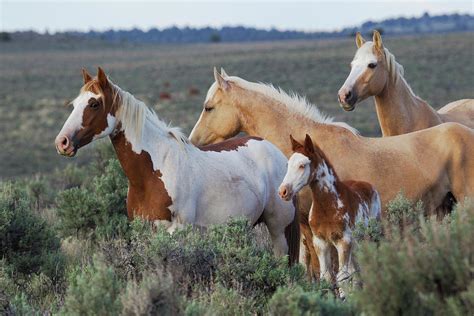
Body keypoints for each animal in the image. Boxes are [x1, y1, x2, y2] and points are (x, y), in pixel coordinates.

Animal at [55, 67, 298, 264]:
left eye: (94, 103)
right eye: (75, 104)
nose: (62, 142)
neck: (154, 172)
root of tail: (277, 153)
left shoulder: (176, 232)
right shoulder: (145, 233)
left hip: (278, 230)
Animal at [280, 135, 380, 296]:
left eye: (302, 165)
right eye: (288, 165)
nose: (283, 191)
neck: (328, 207)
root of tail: (369, 186)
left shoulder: (343, 241)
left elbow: (342, 277)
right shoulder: (320, 243)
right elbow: (326, 276)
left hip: (372, 236)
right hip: (355, 244)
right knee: (356, 271)